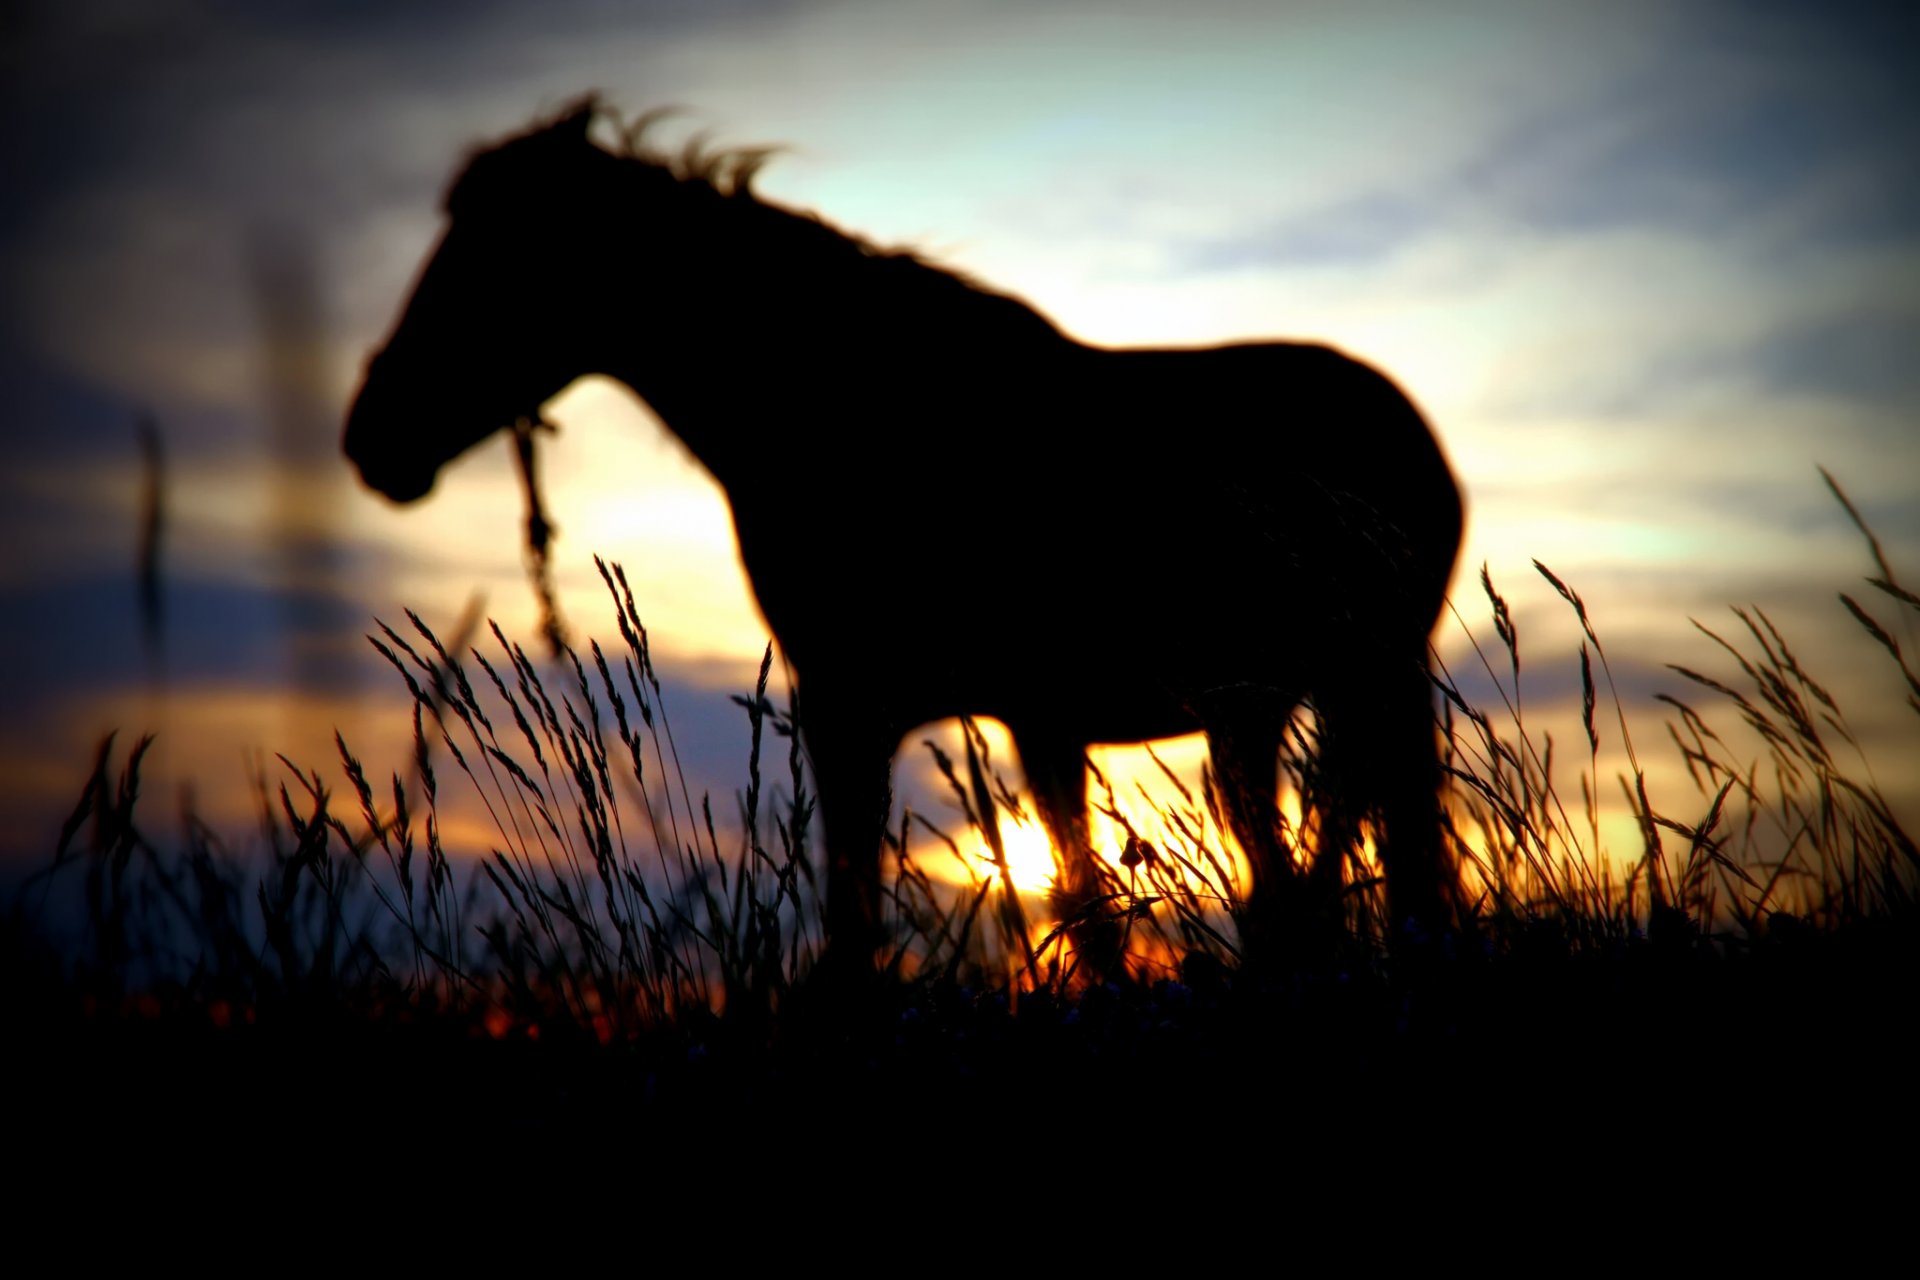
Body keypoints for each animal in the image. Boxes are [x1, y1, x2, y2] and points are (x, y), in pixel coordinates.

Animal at [343, 97, 1466, 974]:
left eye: (492, 256)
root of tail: (1406, 426)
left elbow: (894, 929)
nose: (370, 437)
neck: (877, 413)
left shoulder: (872, 704)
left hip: (1353, 685)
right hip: (1277, 708)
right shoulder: (1002, 718)